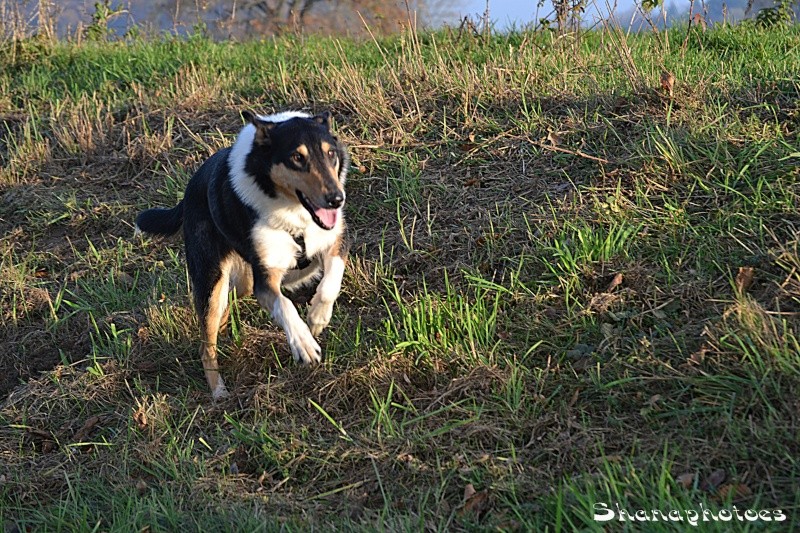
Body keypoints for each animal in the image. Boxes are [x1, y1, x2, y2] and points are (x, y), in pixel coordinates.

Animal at [136, 111, 348, 400]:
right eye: (297, 157)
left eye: (331, 153)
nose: (336, 199)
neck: (294, 213)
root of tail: (190, 189)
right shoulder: (265, 278)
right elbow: (285, 305)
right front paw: (303, 342)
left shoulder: (334, 242)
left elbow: (331, 281)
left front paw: (317, 318)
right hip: (212, 282)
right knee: (206, 344)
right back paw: (219, 394)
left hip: (240, 282)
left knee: (225, 310)